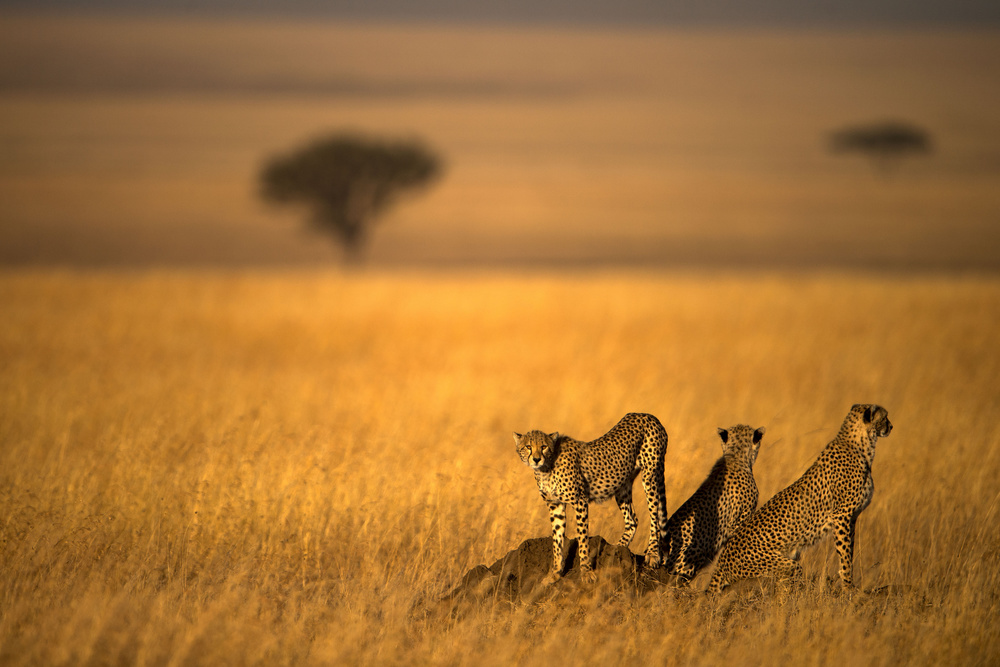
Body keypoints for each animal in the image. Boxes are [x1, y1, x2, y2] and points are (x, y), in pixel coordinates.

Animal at [512, 412, 668, 584]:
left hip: (650, 476)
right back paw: (616, 551)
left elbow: (582, 537)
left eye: (544, 447)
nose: (536, 459)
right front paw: (555, 573)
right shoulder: (555, 505)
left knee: (654, 516)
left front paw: (586, 572)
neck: (546, 468)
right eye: (528, 447)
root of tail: (647, 415)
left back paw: (653, 553)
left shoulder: (580, 501)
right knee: (632, 520)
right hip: (622, 485)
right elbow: (557, 540)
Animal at [708, 404, 896, 592]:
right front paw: (848, 587)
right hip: (780, 565)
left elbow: (849, 550)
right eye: (884, 417)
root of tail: (722, 560)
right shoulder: (842, 515)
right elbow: (844, 554)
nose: (891, 427)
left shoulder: (852, 517)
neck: (861, 446)